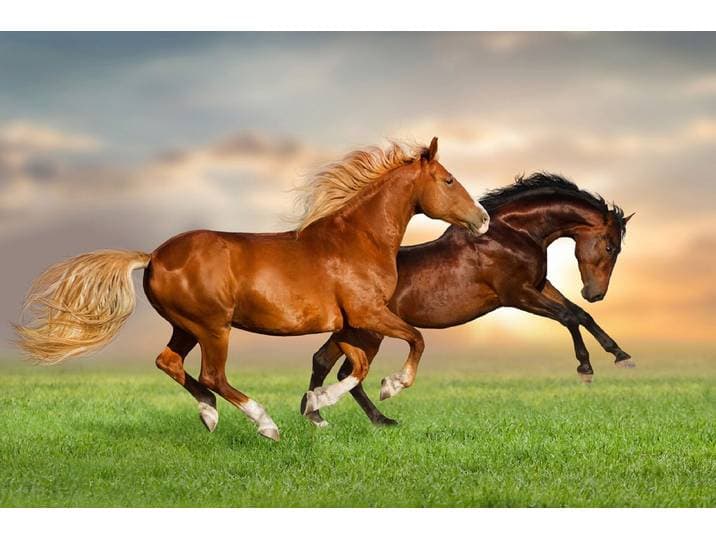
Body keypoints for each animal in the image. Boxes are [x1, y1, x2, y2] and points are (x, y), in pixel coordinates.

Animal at [15, 137, 490, 441]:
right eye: (449, 180)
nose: (483, 219)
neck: (356, 240)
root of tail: (153, 256)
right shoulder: (366, 315)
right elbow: (411, 342)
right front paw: (381, 390)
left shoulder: (351, 324)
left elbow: (352, 365)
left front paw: (317, 408)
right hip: (213, 327)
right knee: (213, 374)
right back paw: (265, 424)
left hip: (186, 326)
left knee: (169, 362)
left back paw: (209, 414)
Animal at [303, 173, 634, 428]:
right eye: (610, 247)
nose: (595, 294)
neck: (512, 234)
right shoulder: (517, 294)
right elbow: (569, 317)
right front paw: (586, 369)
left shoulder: (540, 285)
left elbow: (580, 314)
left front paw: (621, 355)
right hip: (369, 333)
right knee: (347, 372)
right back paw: (377, 416)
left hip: (350, 332)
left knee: (322, 361)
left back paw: (320, 414)